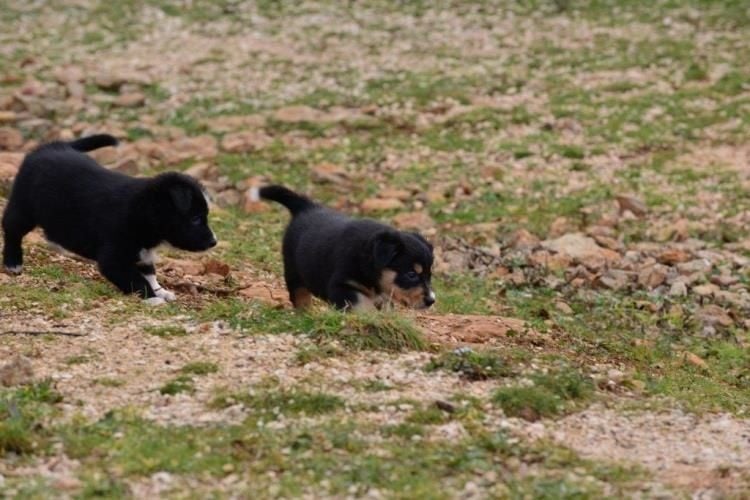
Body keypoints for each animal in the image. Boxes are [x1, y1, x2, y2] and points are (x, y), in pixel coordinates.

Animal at [2, 135, 219, 302]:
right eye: (196, 218)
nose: (214, 242)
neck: (142, 209)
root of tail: (52, 145)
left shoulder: (142, 252)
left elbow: (149, 273)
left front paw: (161, 292)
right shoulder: (113, 257)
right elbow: (136, 279)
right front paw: (153, 298)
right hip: (23, 207)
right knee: (11, 229)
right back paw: (13, 262)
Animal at [256, 186, 438, 310]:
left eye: (429, 275)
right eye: (411, 274)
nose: (431, 301)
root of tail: (306, 207)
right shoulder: (341, 285)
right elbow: (361, 303)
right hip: (293, 269)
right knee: (300, 295)